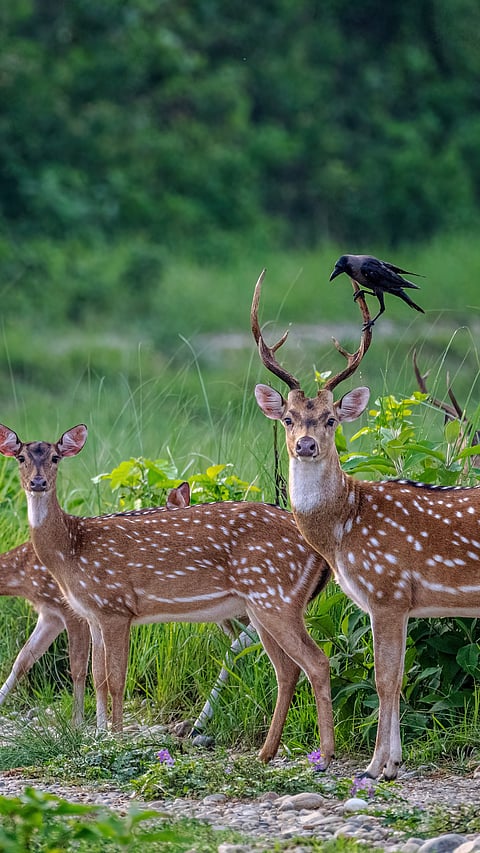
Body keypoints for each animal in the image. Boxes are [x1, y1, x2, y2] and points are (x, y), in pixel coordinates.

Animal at [0, 425, 334, 765]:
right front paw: (99, 734)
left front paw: (115, 737)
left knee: (316, 661)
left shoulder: (115, 607)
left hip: (276, 597)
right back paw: (265, 753)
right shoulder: (91, 614)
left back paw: (324, 755)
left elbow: (116, 678)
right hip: (264, 604)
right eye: (20, 457)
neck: (71, 548)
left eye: (55, 457)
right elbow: (97, 676)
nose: (37, 482)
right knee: (288, 669)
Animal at [251, 268, 480, 780]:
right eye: (289, 418)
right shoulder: (400, 602)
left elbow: (386, 679)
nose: (307, 445)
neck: (343, 529)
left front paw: (375, 766)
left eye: (332, 419)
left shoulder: (388, 590)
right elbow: (395, 676)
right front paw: (392, 763)